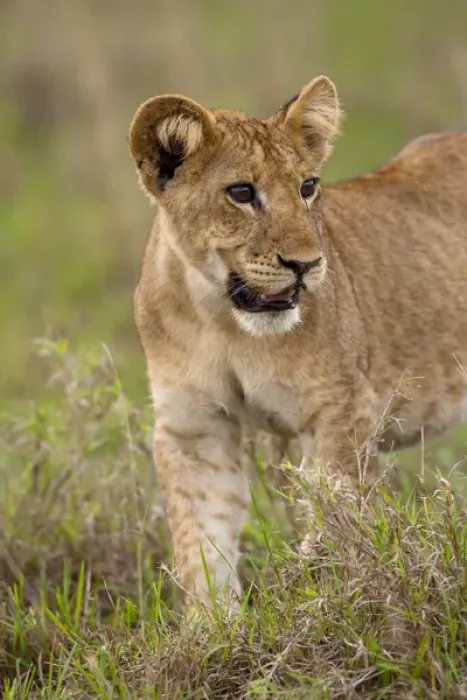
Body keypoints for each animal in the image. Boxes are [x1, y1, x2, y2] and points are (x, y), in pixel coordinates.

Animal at [129, 76, 467, 606]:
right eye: (241, 193)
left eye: (308, 187)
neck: (223, 322)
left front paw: (310, 596)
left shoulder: (340, 412)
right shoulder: (193, 427)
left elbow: (334, 523)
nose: (305, 264)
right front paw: (215, 625)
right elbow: (201, 543)